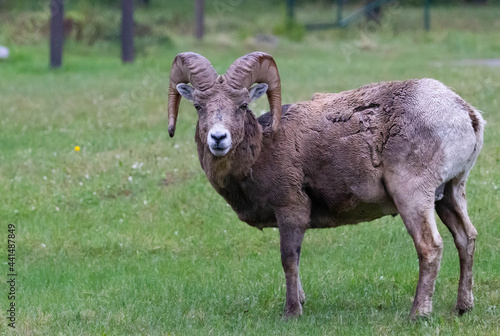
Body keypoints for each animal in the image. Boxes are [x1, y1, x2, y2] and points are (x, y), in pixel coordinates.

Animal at [167, 51, 484, 318]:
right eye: (199, 106)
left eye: (242, 105)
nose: (218, 138)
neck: (262, 150)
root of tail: (465, 113)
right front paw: (301, 301)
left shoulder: (291, 211)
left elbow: (288, 259)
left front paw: (292, 312)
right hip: (450, 193)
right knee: (466, 237)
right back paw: (462, 307)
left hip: (413, 196)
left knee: (430, 247)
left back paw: (418, 314)